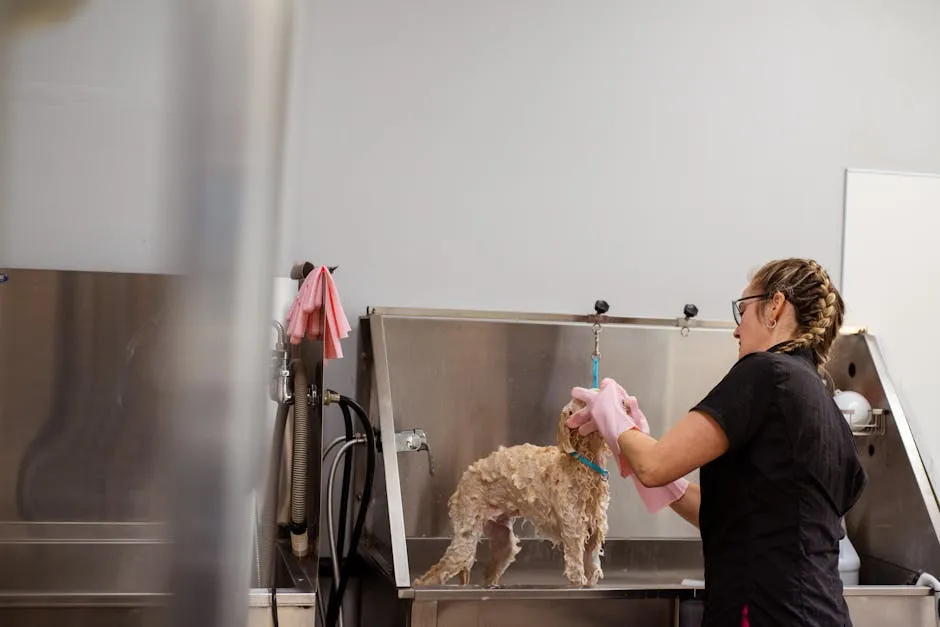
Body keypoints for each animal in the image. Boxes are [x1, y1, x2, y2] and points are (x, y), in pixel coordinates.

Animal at [414, 398, 612, 588]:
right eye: (586, 402)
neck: (583, 465)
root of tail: (464, 477)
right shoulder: (573, 531)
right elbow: (576, 573)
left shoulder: (594, 533)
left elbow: (593, 570)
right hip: (465, 538)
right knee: (436, 573)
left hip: (503, 541)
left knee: (490, 571)